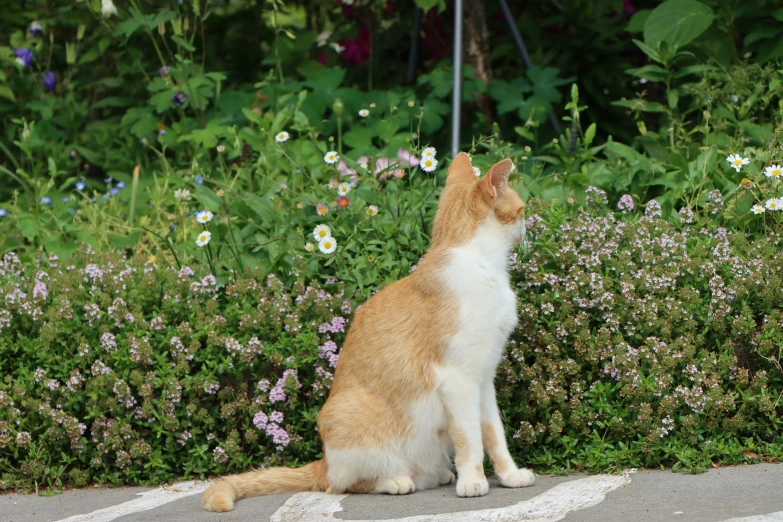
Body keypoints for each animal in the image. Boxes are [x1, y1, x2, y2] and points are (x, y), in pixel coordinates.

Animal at [201, 151, 532, 512]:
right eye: (522, 209)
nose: (528, 225)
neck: (479, 263)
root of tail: (324, 462)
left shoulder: (483, 378)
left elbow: (494, 434)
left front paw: (509, 475)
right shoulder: (458, 379)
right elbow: (469, 437)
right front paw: (473, 480)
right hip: (349, 424)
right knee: (344, 484)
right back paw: (395, 481)